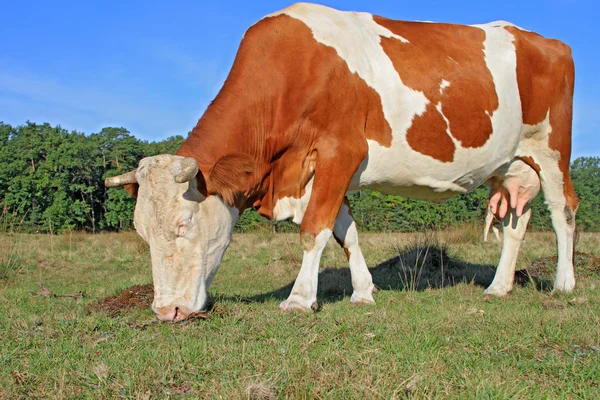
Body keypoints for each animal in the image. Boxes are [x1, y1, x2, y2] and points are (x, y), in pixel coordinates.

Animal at [105, 3, 580, 322]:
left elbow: (315, 228)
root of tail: (546, 40)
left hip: (552, 150)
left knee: (564, 210)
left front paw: (299, 300)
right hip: (511, 165)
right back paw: (499, 288)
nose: (166, 311)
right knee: (516, 222)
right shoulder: (322, 169)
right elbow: (345, 232)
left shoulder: (340, 151)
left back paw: (564, 283)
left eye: (183, 224)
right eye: (140, 231)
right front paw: (364, 292)